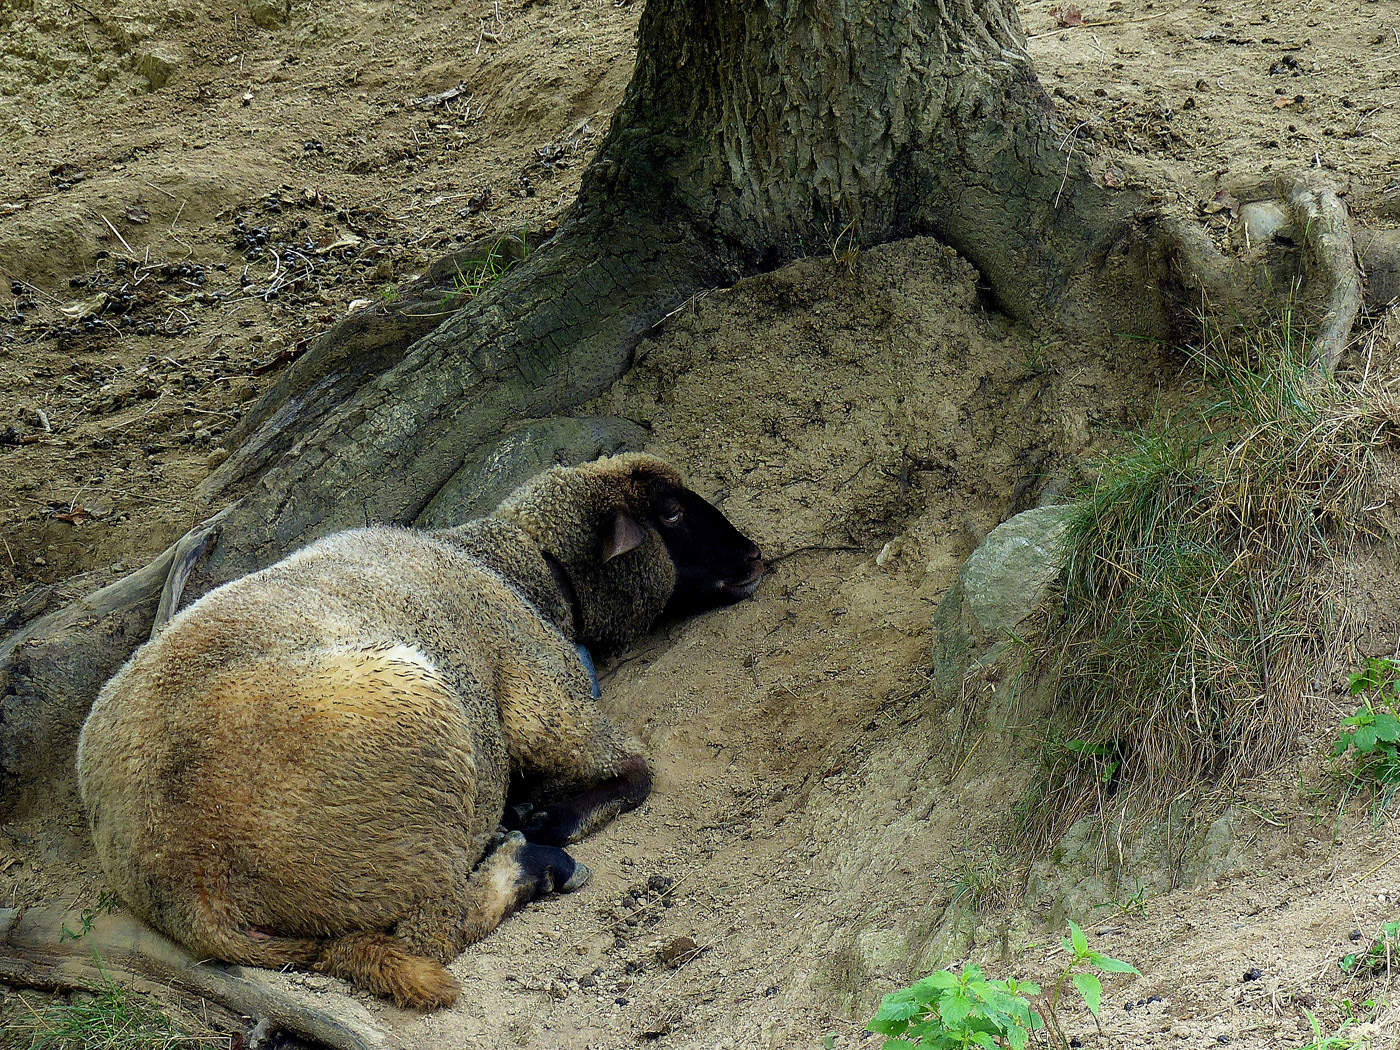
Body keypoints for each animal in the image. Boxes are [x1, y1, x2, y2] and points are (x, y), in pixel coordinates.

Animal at [73, 453, 767, 1013]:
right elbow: (635, 773)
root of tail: (195, 888)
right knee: (433, 932)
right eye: (671, 513)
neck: (515, 565)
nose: (755, 556)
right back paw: (535, 861)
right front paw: (553, 816)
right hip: (416, 777)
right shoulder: (540, 688)